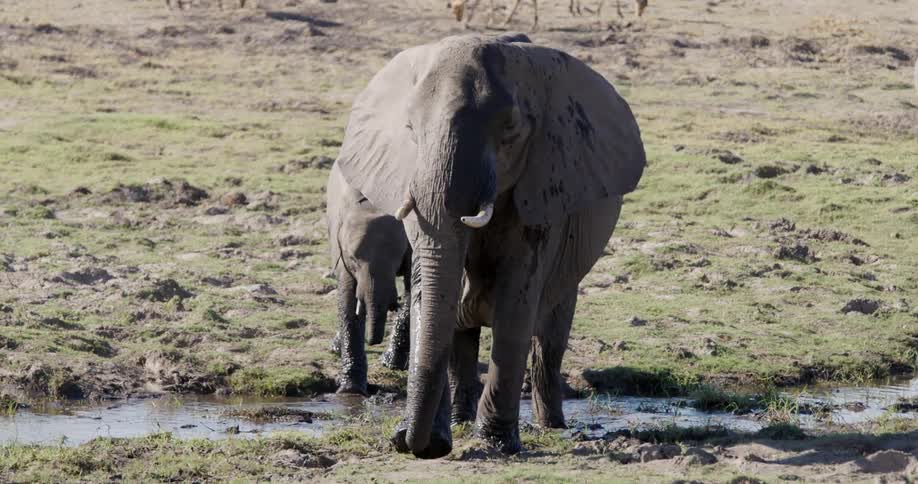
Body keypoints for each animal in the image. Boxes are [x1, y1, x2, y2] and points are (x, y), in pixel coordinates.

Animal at [326, 162, 412, 395]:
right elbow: (347, 298)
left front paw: (390, 363)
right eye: (354, 260)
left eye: (397, 259)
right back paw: (335, 347)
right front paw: (351, 392)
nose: (372, 341)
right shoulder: (341, 250)